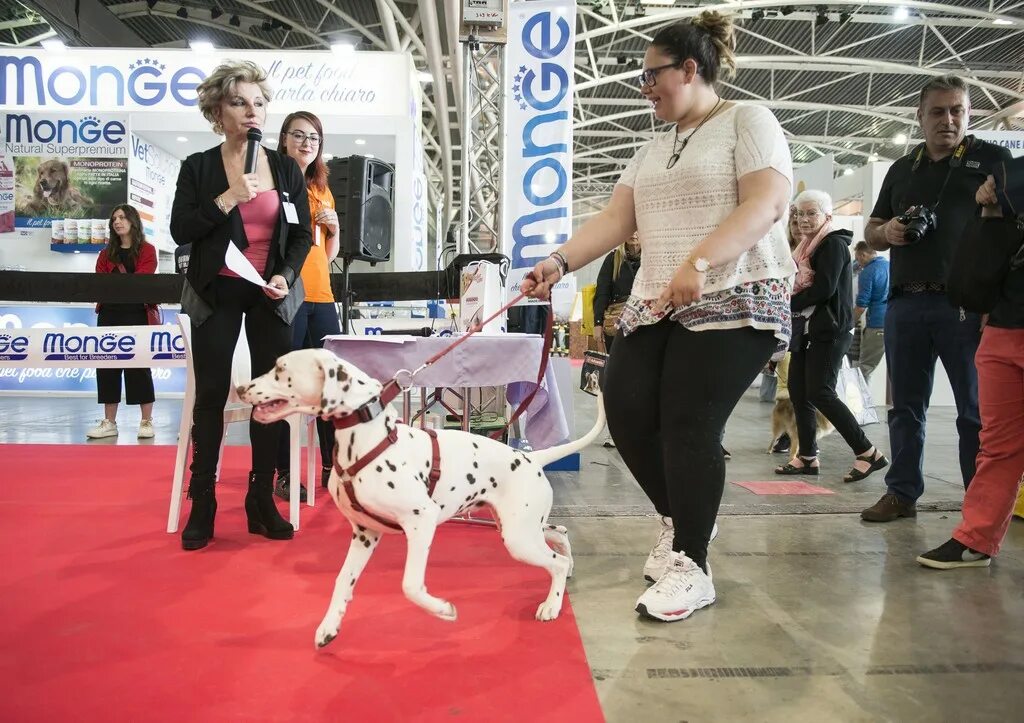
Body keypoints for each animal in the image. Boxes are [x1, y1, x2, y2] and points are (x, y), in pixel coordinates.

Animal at [237, 346, 606, 643]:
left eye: (280, 369)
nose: (240, 388)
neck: (369, 437)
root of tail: (531, 457)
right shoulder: (364, 534)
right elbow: (342, 581)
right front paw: (329, 626)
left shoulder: (421, 522)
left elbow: (410, 586)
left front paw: (442, 609)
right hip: (520, 528)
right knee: (560, 533)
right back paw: (567, 571)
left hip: (518, 538)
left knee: (555, 561)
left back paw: (552, 604)